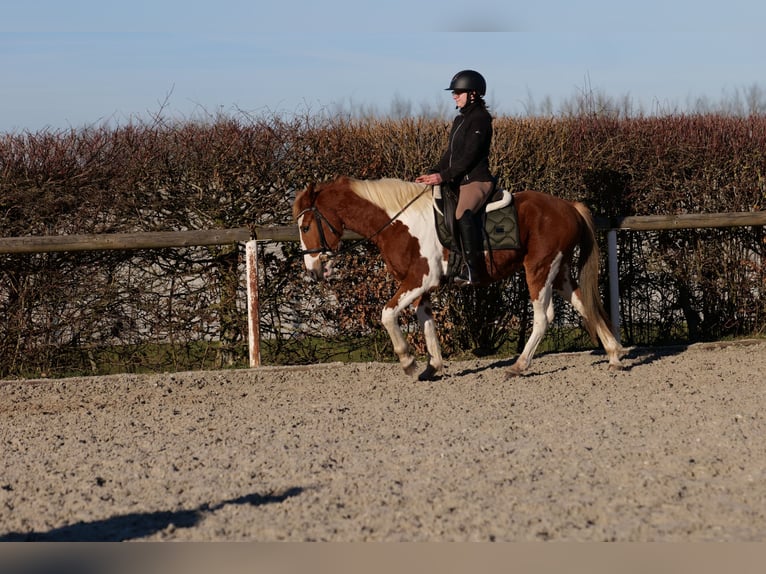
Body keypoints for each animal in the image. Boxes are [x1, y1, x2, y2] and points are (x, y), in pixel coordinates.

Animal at [292, 177, 628, 382]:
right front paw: (433, 366)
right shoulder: (421, 287)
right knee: (585, 305)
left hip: (539, 268)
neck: (398, 222)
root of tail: (568, 206)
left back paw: (519, 365)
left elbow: (387, 314)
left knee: (544, 317)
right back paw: (614, 355)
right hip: (558, 272)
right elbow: (426, 321)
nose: (313, 268)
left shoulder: (419, 279)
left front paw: (408, 361)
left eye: (306, 226)